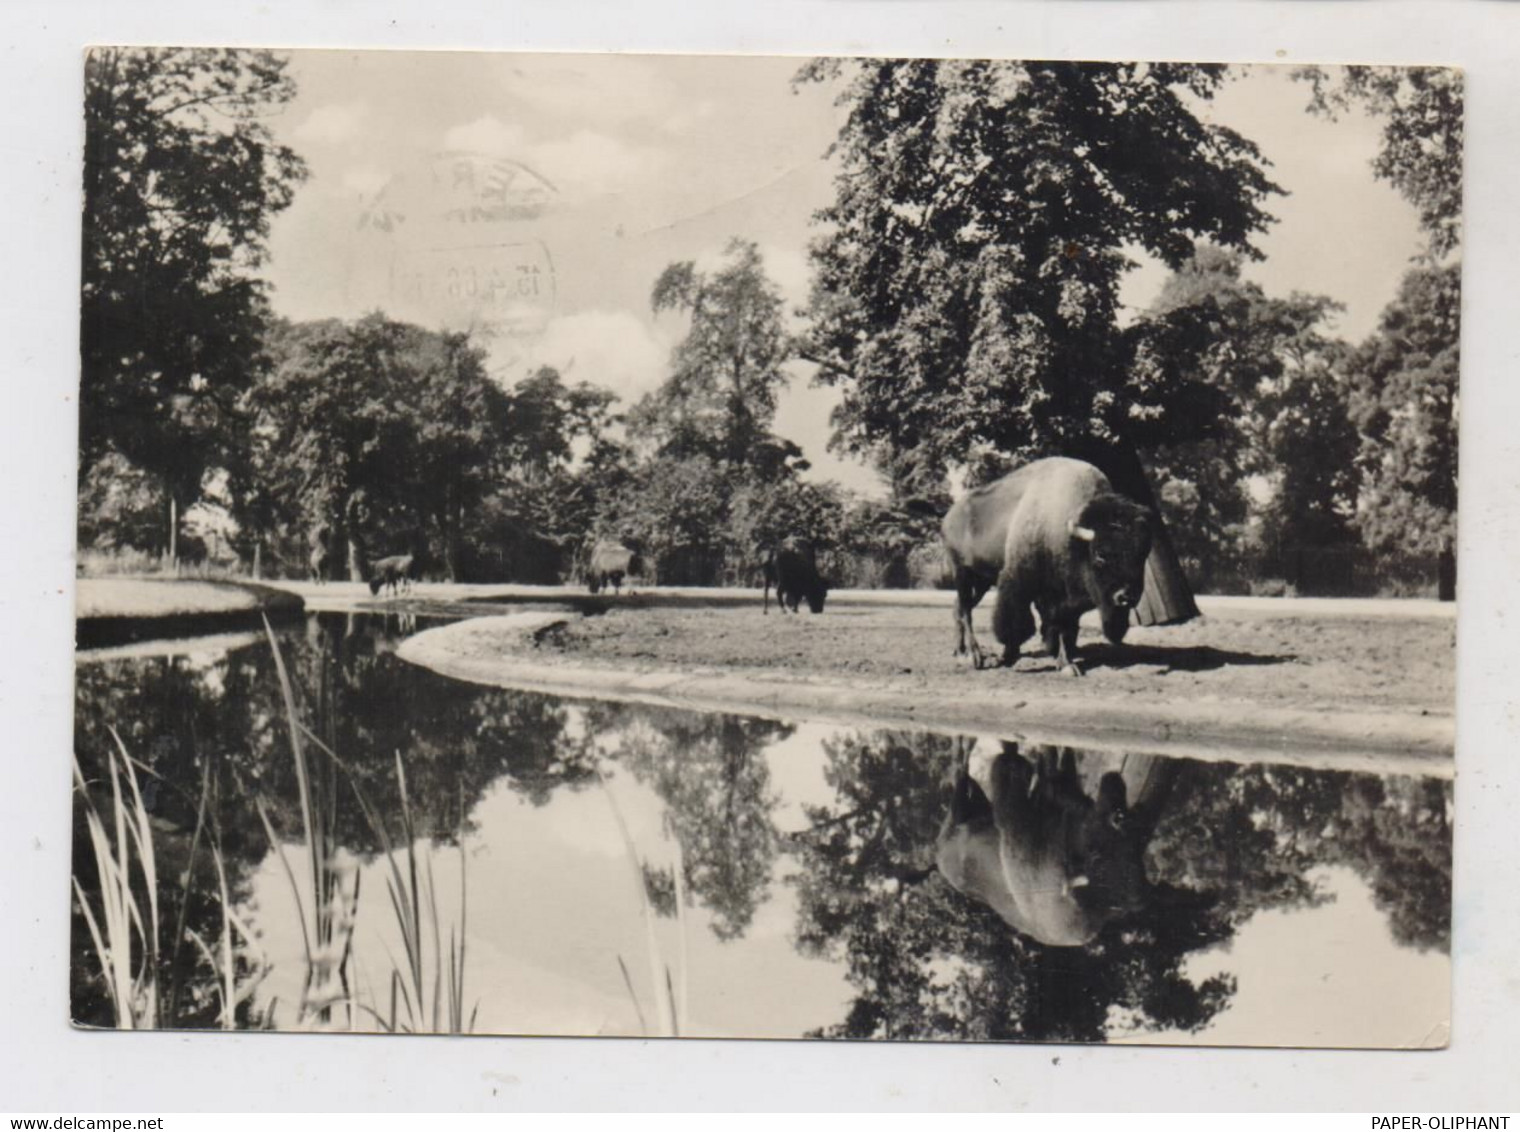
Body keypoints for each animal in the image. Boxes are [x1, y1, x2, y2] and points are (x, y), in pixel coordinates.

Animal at [930, 741, 1167, 942]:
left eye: (1096, 852)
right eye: (1123, 826)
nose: (1112, 780)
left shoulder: (1017, 824)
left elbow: (1015, 771)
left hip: (961, 826)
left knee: (964, 793)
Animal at [936, 455, 1149, 674]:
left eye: (1142, 555)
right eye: (1100, 554)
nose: (1126, 597)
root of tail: (949, 517)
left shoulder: (1064, 599)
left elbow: (1065, 628)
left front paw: (1066, 663)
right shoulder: (1020, 583)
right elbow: (1019, 623)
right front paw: (1010, 657)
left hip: (981, 582)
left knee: (958, 608)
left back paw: (959, 652)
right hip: (962, 573)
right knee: (965, 611)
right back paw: (973, 656)